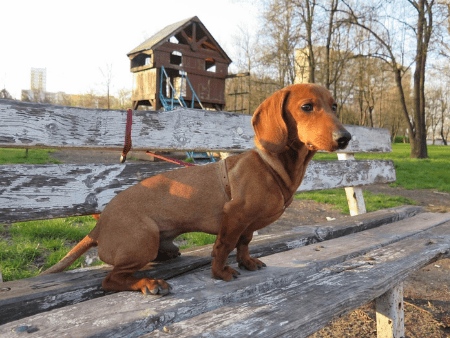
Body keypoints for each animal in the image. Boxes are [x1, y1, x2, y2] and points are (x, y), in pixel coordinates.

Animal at [41, 83, 352, 294]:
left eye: (335, 106)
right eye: (307, 107)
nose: (346, 137)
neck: (272, 167)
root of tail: (97, 227)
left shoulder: (248, 225)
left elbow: (243, 244)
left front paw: (247, 263)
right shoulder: (234, 216)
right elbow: (223, 247)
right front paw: (220, 273)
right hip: (144, 239)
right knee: (111, 280)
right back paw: (149, 283)